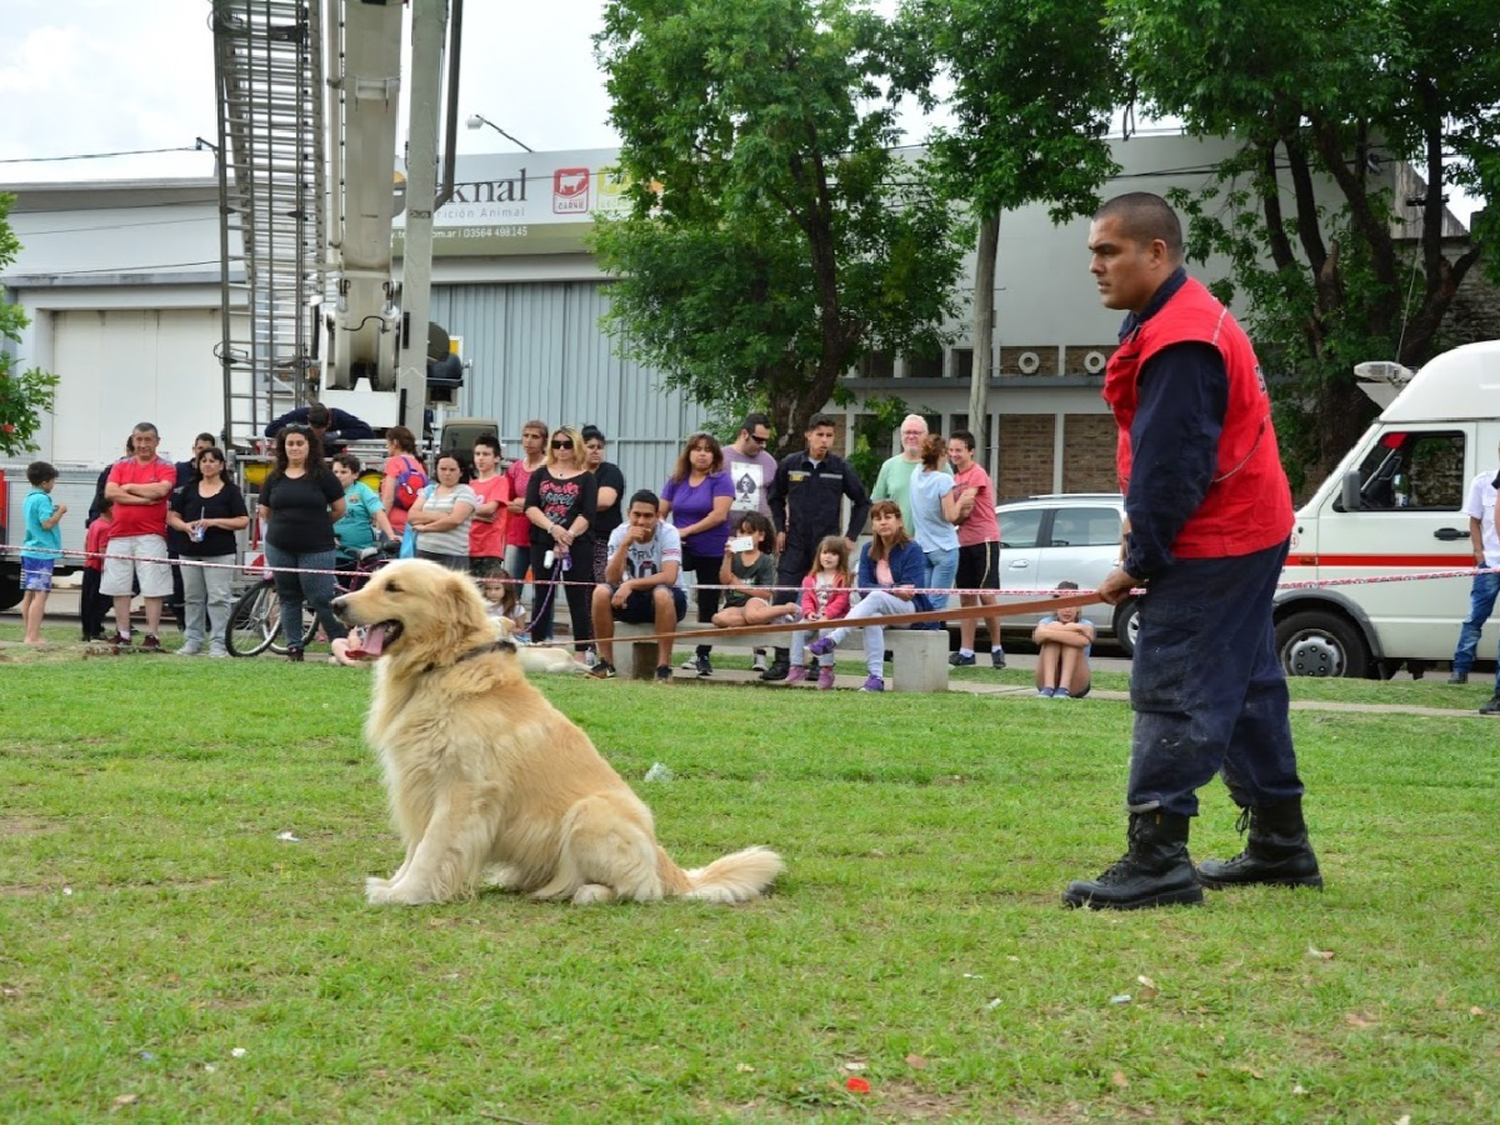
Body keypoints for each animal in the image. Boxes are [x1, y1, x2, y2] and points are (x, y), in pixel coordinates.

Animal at [330, 561, 786, 912]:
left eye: (394, 588)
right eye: (373, 580)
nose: (336, 604)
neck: (444, 664)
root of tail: (669, 866)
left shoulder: (463, 790)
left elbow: (431, 849)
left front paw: (407, 893)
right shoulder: (421, 782)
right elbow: (416, 847)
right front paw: (396, 885)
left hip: (590, 812)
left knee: (643, 889)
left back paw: (589, 892)